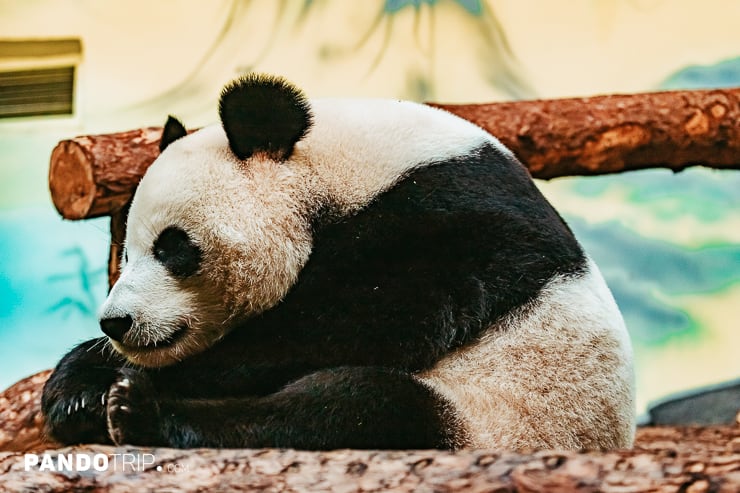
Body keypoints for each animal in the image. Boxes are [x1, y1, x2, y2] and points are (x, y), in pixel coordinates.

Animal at [40, 73, 632, 450]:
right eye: (125, 250)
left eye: (173, 247)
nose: (116, 323)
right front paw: (73, 390)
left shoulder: (448, 215)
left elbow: (368, 317)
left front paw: (123, 381)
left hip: (502, 418)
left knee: (359, 410)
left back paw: (143, 414)